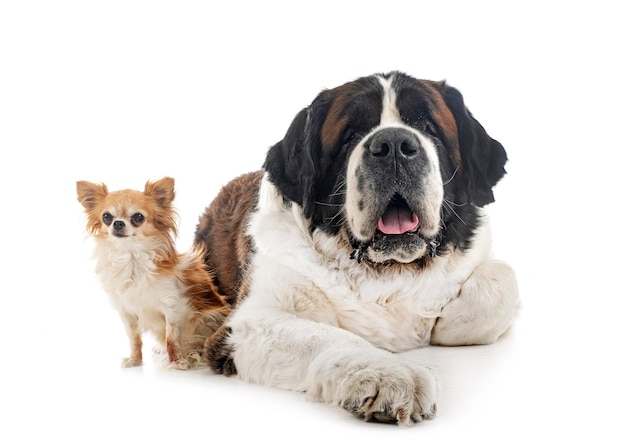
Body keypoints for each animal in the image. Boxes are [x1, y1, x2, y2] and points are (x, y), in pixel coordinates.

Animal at [77, 177, 229, 370]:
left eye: (138, 217)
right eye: (106, 217)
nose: (118, 223)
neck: (132, 262)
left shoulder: (173, 307)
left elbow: (171, 338)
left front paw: (177, 362)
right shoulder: (127, 312)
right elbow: (134, 339)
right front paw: (135, 360)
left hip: (210, 316)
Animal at [195, 72, 516, 426]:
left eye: (428, 127)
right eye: (351, 135)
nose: (394, 146)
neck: (389, 272)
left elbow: (502, 280)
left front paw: (442, 325)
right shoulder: (247, 323)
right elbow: (329, 336)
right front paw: (392, 375)